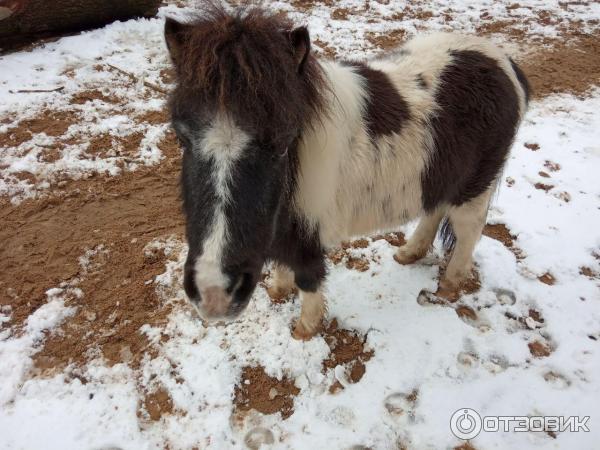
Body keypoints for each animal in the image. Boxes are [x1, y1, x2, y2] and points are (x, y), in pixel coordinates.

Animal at [164, 3, 528, 340]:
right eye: (182, 136)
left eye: (282, 143)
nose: (214, 294)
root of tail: (505, 63)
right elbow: (283, 263)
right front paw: (278, 291)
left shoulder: (308, 233)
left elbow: (308, 277)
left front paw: (305, 329)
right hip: (440, 176)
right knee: (434, 210)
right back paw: (408, 253)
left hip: (474, 189)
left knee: (468, 233)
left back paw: (448, 288)